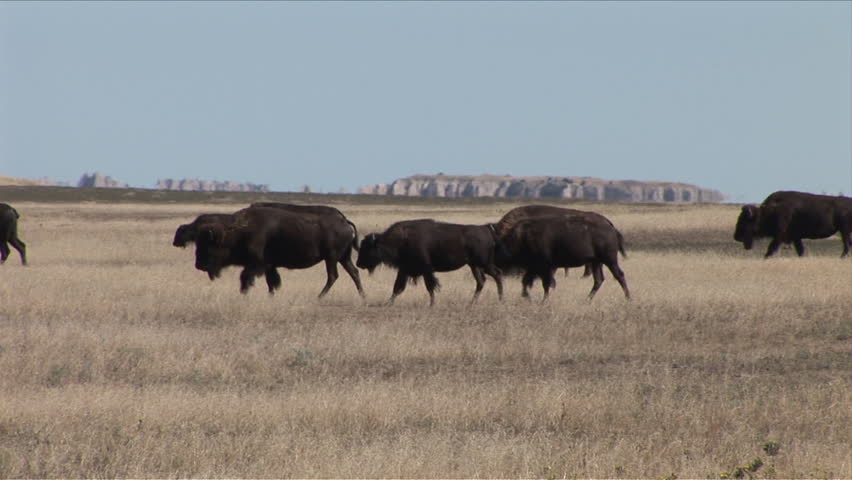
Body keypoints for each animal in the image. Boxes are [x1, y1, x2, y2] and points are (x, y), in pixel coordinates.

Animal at [192, 206, 365, 297]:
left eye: (209, 246)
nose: (198, 265)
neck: (240, 232)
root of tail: (344, 221)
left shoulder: (257, 264)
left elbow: (246, 277)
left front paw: (244, 293)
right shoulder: (269, 266)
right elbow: (272, 281)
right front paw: (271, 295)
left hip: (332, 258)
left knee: (333, 276)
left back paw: (319, 297)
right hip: (342, 258)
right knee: (353, 272)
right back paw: (362, 296)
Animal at [356, 219, 503, 306]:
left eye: (367, 248)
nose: (358, 264)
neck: (403, 239)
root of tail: (486, 229)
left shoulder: (426, 270)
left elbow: (430, 287)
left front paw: (432, 304)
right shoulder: (404, 270)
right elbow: (397, 288)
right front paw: (388, 303)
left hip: (484, 264)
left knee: (496, 275)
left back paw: (500, 300)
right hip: (474, 265)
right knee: (482, 281)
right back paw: (472, 303)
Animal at [496, 215, 630, 301]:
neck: (523, 237)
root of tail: (612, 229)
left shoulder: (544, 267)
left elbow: (546, 283)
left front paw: (544, 300)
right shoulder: (535, 268)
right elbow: (526, 281)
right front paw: (526, 296)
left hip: (609, 260)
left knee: (619, 275)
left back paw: (628, 298)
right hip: (596, 262)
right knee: (598, 280)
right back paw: (587, 299)